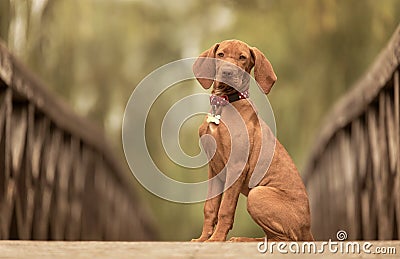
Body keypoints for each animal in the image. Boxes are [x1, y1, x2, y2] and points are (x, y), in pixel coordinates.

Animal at [190, 39, 312, 243]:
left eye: (242, 58)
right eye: (220, 54)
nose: (227, 72)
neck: (224, 103)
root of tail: (308, 230)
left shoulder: (236, 166)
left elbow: (225, 208)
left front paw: (216, 239)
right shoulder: (214, 168)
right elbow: (210, 207)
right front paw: (203, 239)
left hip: (257, 194)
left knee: (283, 239)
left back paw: (241, 239)